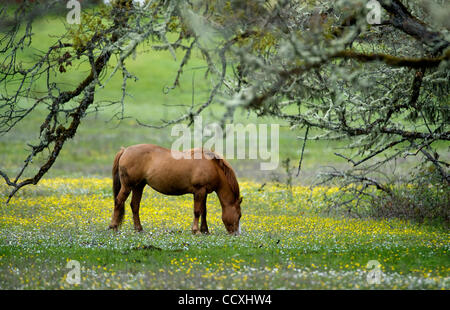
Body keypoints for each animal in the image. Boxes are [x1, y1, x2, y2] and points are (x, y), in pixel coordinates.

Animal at [108, 145, 243, 235]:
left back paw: (139, 229)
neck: (211, 165)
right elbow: (197, 211)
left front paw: (205, 230)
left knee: (135, 205)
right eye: (239, 215)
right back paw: (113, 226)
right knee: (118, 201)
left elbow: (204, 211)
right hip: (128, 186)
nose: (236, 234)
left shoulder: (204, 192)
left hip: (138, 186)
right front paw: (196, 231)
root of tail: (125, 150)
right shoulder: (199, 191)